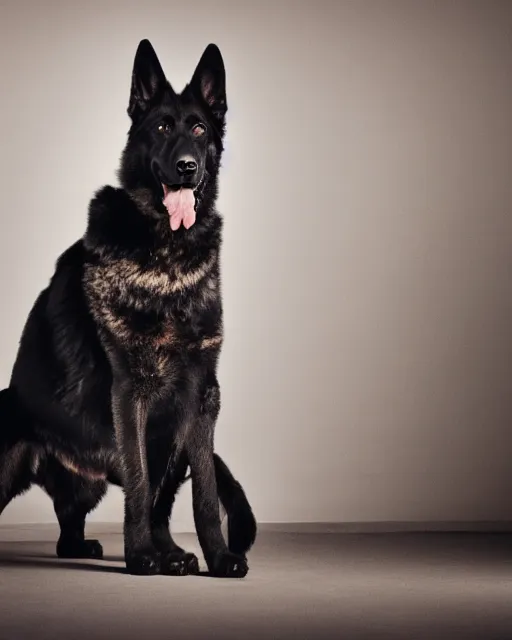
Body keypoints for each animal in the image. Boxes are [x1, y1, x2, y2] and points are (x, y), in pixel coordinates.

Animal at [0, 41, 256, 580]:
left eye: (199, 129)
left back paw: (168, 552)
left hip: (167, 440)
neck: (169, 257)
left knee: (88, 522)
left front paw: (217, 556)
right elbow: (139, 484)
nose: (187, 166)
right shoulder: (129, 392)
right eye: (160, 127)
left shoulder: (203, 396)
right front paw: (140, 557)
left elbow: (203, 493)